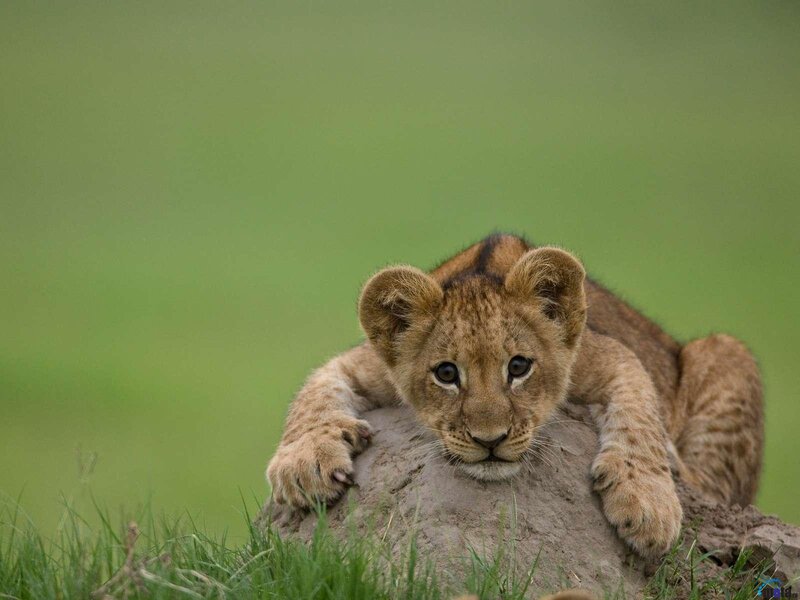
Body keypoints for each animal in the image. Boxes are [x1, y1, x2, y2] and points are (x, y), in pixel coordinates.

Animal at [266, 234, 763, 558]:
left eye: (519, 367)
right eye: (446, 373)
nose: (491, 441)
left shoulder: (609, 353)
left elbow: (640, 412)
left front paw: (647, 502)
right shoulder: (363, 363)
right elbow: (313, 392)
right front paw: (303, 464)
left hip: (727, 351)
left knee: (717, 489)